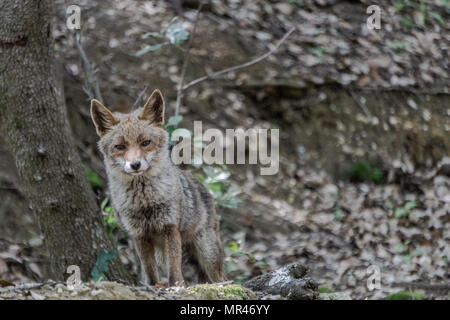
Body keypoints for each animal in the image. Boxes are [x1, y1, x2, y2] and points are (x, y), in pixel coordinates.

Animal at [90, 89, 224, 284]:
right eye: (120, 146)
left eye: (145, 143)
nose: (135, 165)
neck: (144, 201)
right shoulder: (139, 234)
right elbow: (150, 272)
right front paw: (154, 286)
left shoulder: (170, 227)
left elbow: (175, 271)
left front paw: (176, 286)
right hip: (164, 253)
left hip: (208, 254)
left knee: (221, 278)